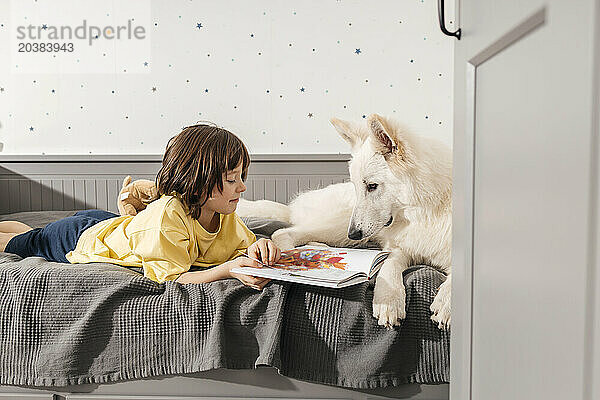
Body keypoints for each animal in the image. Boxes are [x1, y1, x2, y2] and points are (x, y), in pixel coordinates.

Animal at [237, 114, 452, 330]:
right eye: (357, 186)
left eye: (372, 186)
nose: (354, 233)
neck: (422, 211)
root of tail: (291, 208)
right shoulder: (396, 248)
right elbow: (389, 266)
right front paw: (389, 301)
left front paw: (447, 302)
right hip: (341, 225)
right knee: (283, 232)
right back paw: (294, 255)